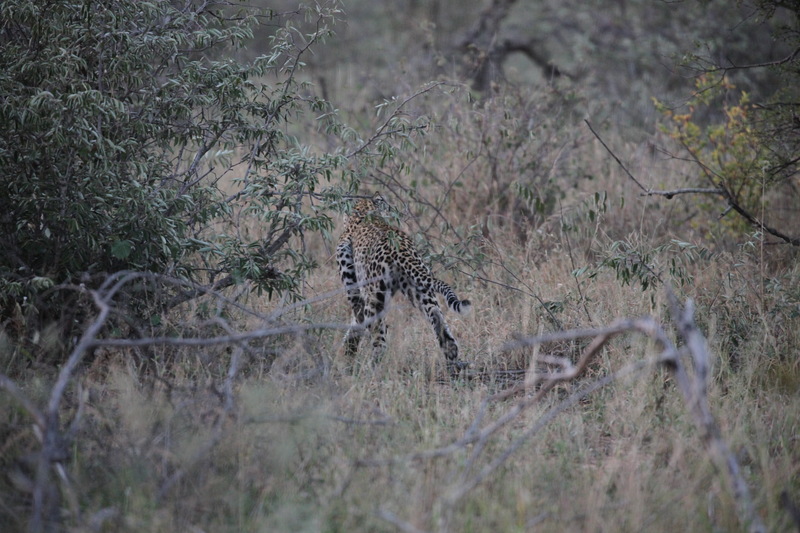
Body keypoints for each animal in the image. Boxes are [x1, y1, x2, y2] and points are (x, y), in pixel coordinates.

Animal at [336, 192, 471, 376]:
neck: (364, 212)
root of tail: (400, 250)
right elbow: (354, 326)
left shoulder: (355, 290)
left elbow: (356, 322)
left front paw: (347, 356)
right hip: (420, 289)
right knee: (442, 327)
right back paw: (454, 369)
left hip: (375, 299)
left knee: (379, 341)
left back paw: (370, 373)